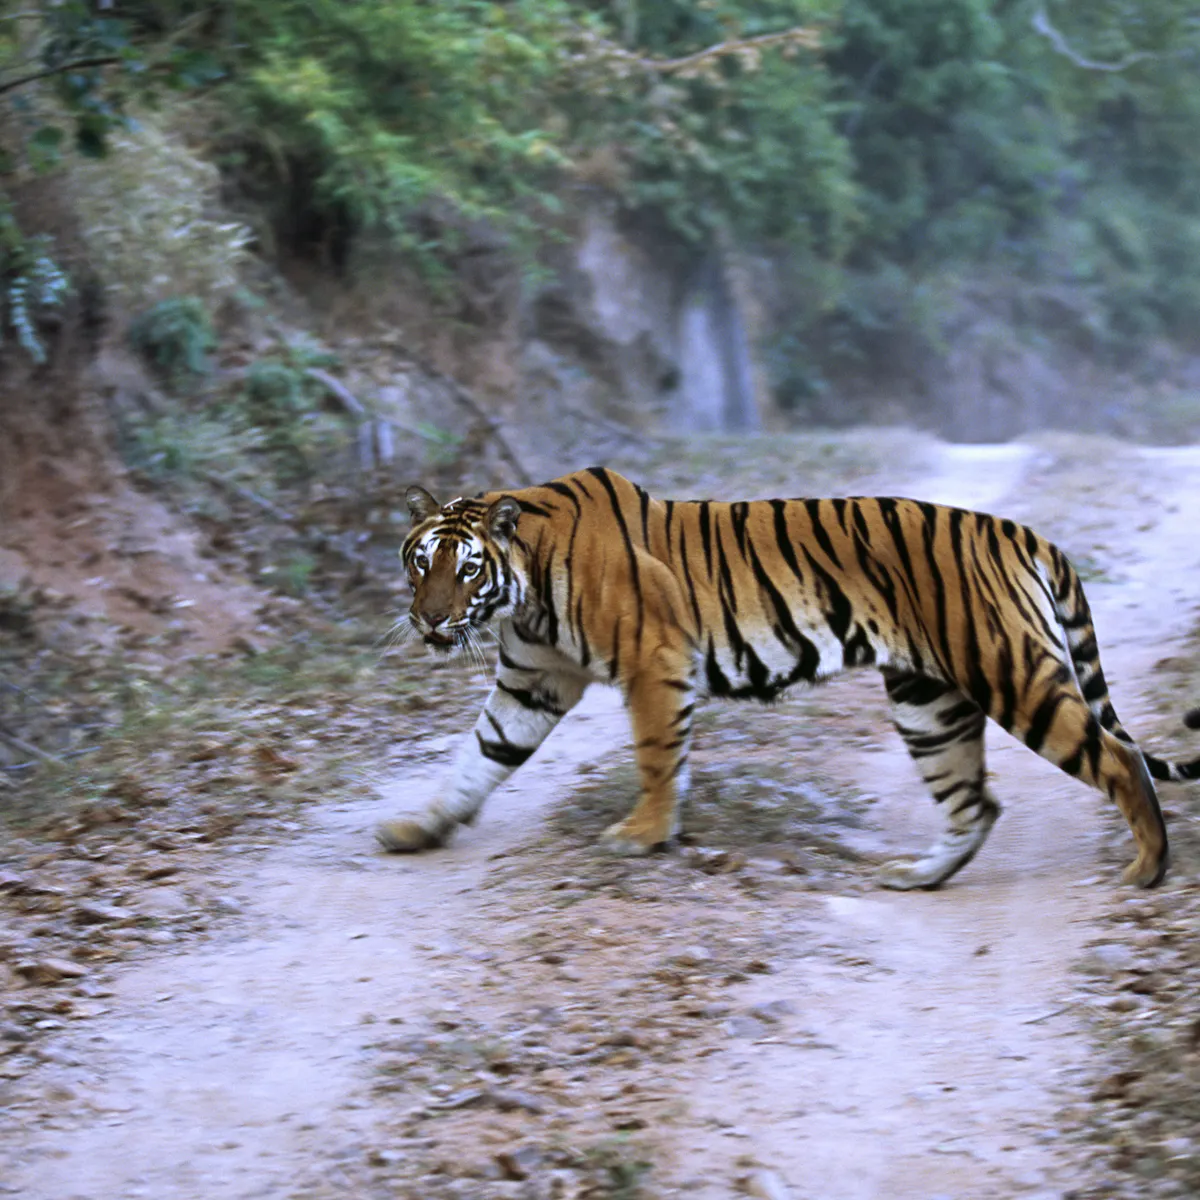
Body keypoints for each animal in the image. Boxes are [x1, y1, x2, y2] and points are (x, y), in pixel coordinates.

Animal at [377, 466, 1200, 890]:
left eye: (467, 568)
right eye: (421, 562)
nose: (429, 620)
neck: (522, 594)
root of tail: (1015, 529)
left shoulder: (654, 664)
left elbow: (656, 759)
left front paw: (642, 836)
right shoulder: (532, 683)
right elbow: (477, 759)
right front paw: (418, 828)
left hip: (1008, 670)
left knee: (1118, 758)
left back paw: (1147, 869)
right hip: (927, 700)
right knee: (976, 801)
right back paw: (918, 877)